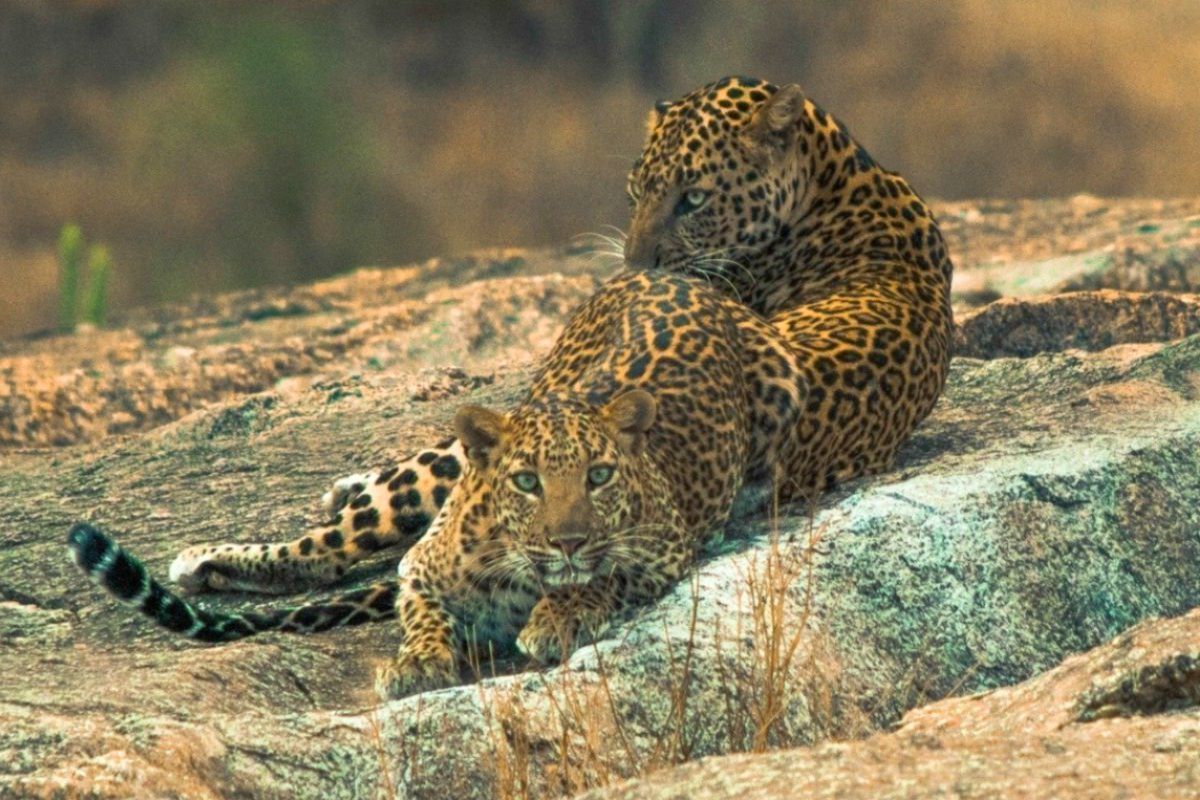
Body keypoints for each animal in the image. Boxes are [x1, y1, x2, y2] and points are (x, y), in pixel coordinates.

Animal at [70, 269, 807, 697]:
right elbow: (420, 610)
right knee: (327, 546)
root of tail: (667, 275)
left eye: (599, 477)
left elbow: (602, 575)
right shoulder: (422, 570)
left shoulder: (664, 548)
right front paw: (419, 659)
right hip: (439, 466)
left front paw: (556, 616)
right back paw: (226, 550)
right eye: (527, 482)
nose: (567, 541)